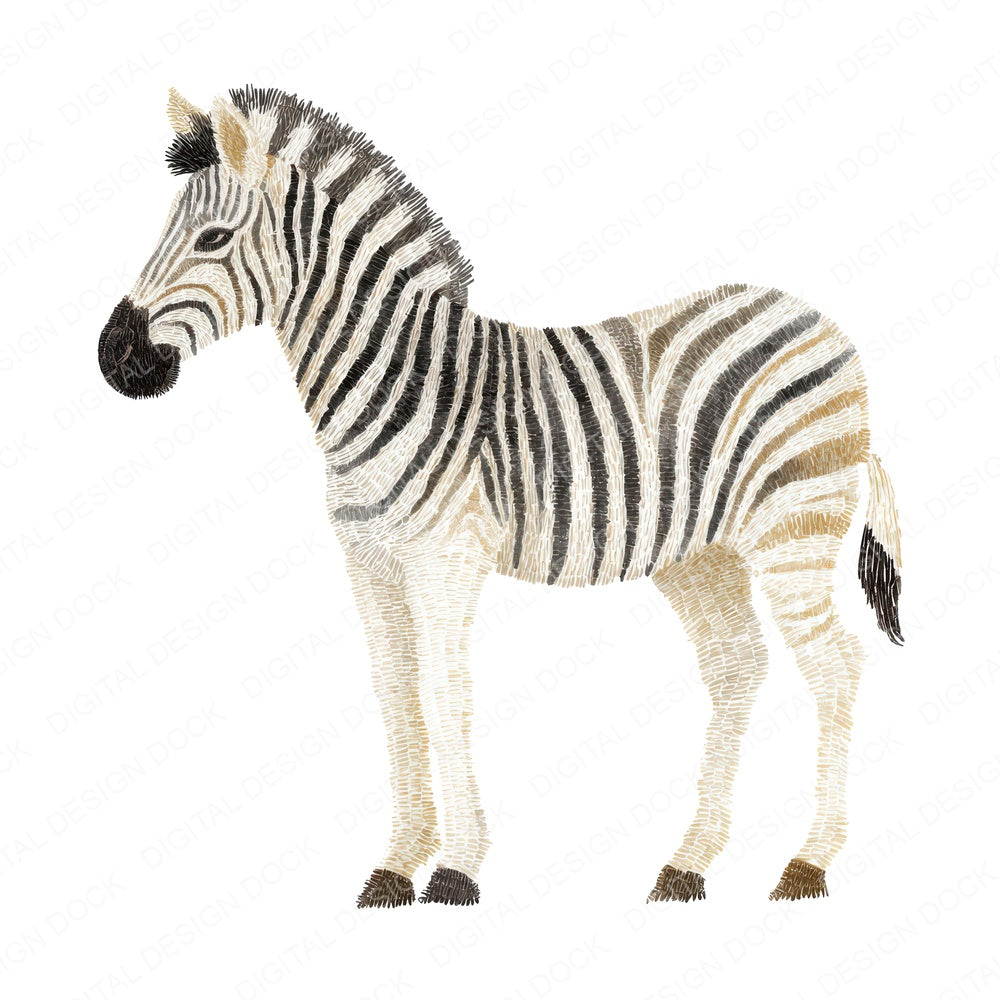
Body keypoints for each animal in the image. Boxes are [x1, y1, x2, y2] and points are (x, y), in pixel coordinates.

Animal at [98, 86, 903, 907]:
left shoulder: (445, 557)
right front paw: (395, 865)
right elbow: (395, 693)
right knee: (738, 667)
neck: (396, 380)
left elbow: (446, 692)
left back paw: (808, 863)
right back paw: (688, 865)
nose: (113, 358)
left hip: (793, 528)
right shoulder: (368, 562)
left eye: (214, 239)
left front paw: (456, 868)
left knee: (836, 666)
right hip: (699, 553)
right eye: (166, 231)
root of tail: (823, 322)